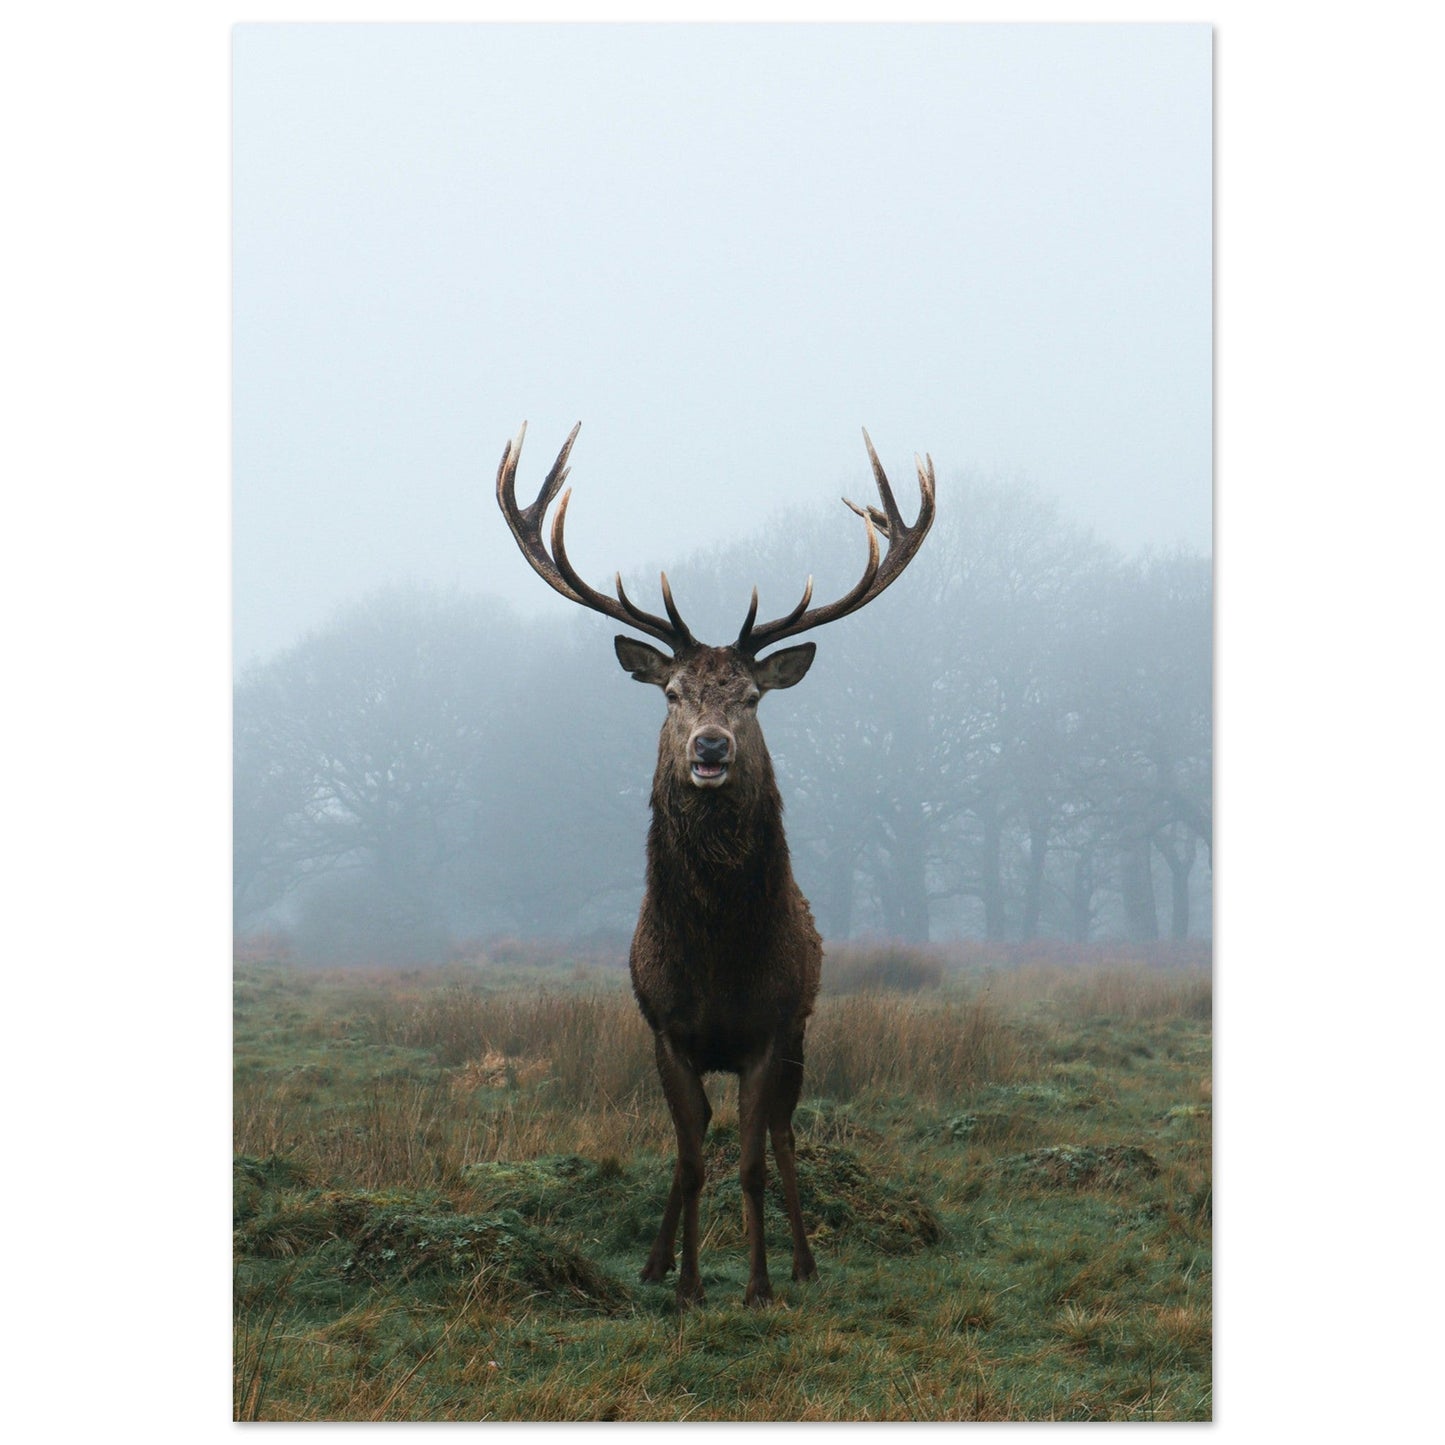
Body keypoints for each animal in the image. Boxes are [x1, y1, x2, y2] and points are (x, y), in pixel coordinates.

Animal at [496, 422, 935, 1308]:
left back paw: (802, 1261)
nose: (709, 748)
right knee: (694, 1138)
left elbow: (754, 1161)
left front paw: (759, 1283)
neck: (718, 958)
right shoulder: (666, 1029)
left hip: (802, 1033)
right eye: (670, 693)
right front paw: (688, 1284)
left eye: (751, 698)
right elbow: (694, 1157)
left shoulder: (770, 1028)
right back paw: (656, 1260)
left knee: (784, 1133)